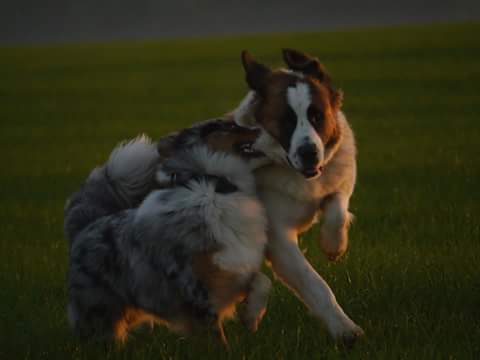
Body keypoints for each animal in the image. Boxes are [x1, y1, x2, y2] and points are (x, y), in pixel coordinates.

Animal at [230, 49, 364, 344]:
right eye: (287, 120)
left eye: (317, 117)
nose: (309, 152)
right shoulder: (278, 236)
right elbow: (313, 282)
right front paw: (344, 329)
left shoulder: (340, 175)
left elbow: (338, 207)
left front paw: (333, 244)